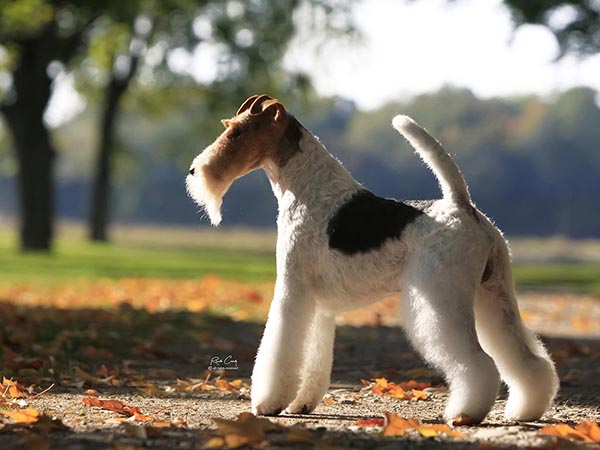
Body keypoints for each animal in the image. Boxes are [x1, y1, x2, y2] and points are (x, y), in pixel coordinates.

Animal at [185, 95, 560, 426]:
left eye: (237, 132)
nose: (192, 171)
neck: (308, 189)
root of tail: (462, 206)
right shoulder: (319, 305)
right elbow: (315, 357)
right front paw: (302, 403)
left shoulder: (292, 290)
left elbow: (279, 350)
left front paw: (269, 403)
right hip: (493, 295)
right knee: (526, 357)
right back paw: (526, 409)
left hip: (443, 297)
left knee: (478, 361)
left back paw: (465, 413)